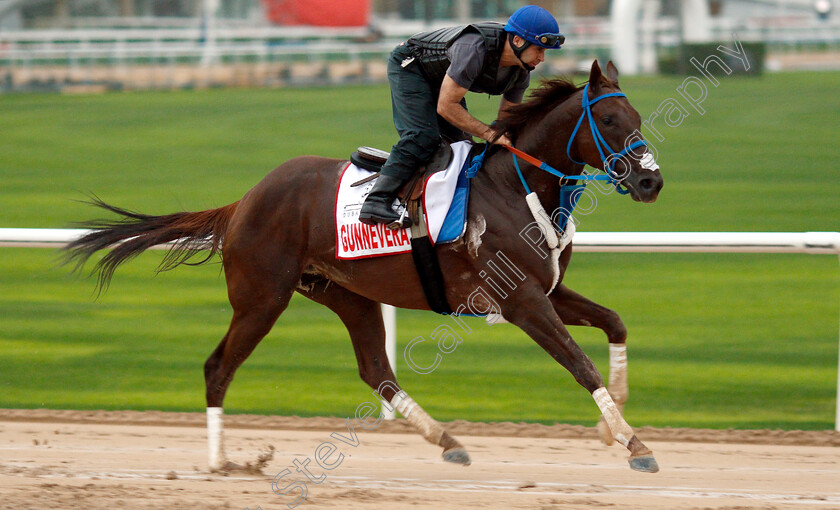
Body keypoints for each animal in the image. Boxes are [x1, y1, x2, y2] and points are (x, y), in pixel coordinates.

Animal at [67, 59, 664, 474]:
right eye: (610, 119)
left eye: (635, 117)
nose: (651, 180)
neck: (517, 186)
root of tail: (243, 202)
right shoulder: (521, 301)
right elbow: (579, 364)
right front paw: (634, 444)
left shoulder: (547, 289)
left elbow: (615, 323)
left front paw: (612, 426)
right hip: (262, 297)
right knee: (219, 367)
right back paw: (221, 463)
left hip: (346, 293)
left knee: (377, 370)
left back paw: (448, 441)